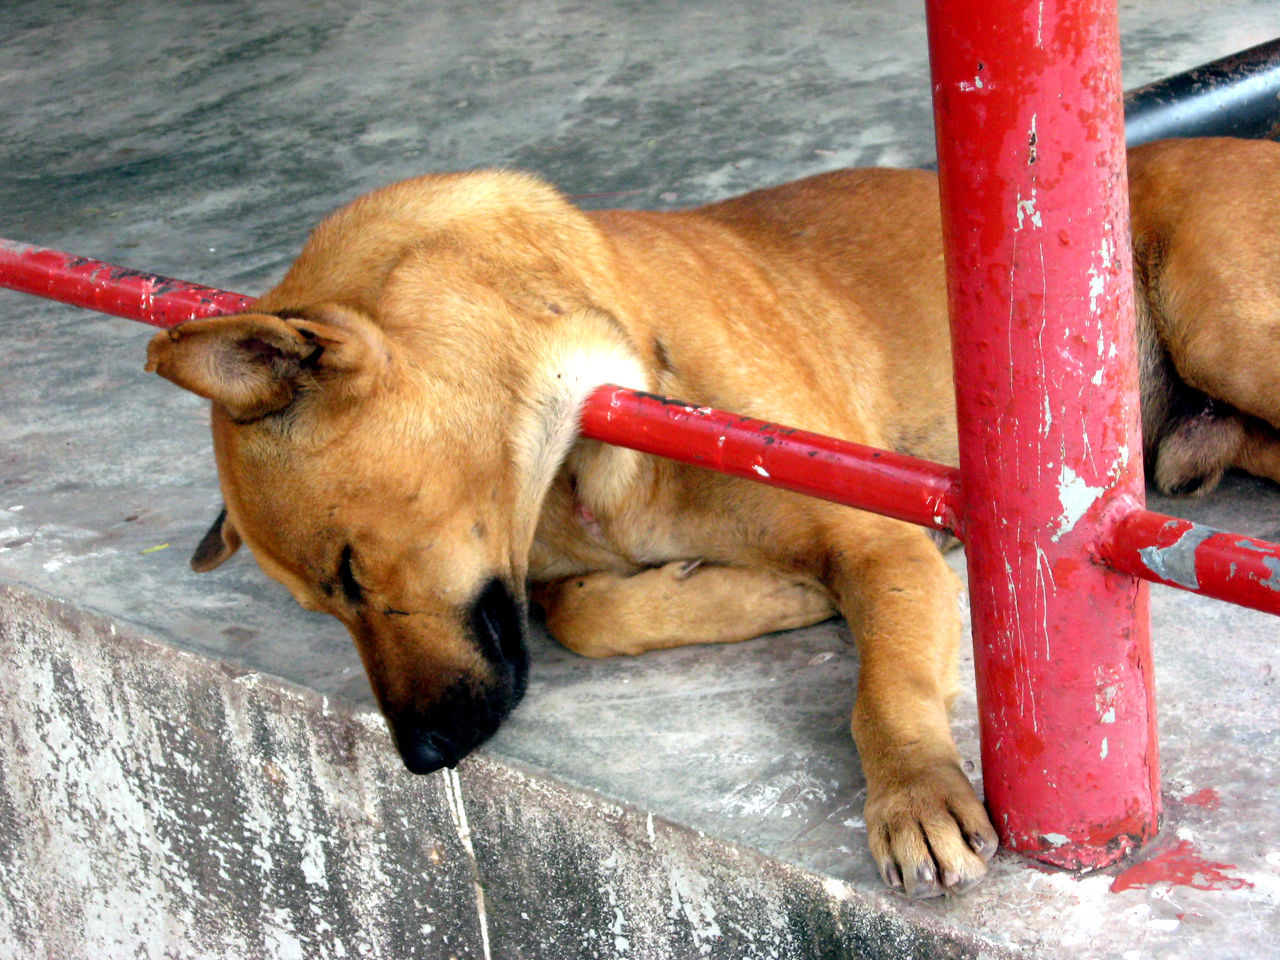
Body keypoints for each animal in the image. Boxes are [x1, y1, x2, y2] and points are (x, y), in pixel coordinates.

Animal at [142, 136, 1280, 901]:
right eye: (323, 604)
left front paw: (912, 790)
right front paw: (756, 592)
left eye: (348, 569)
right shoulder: (549, 572)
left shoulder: (876, 537)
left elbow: (883, 692)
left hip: (1220, 318)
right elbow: (583, 613)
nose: (421, 758)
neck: (592, 428)